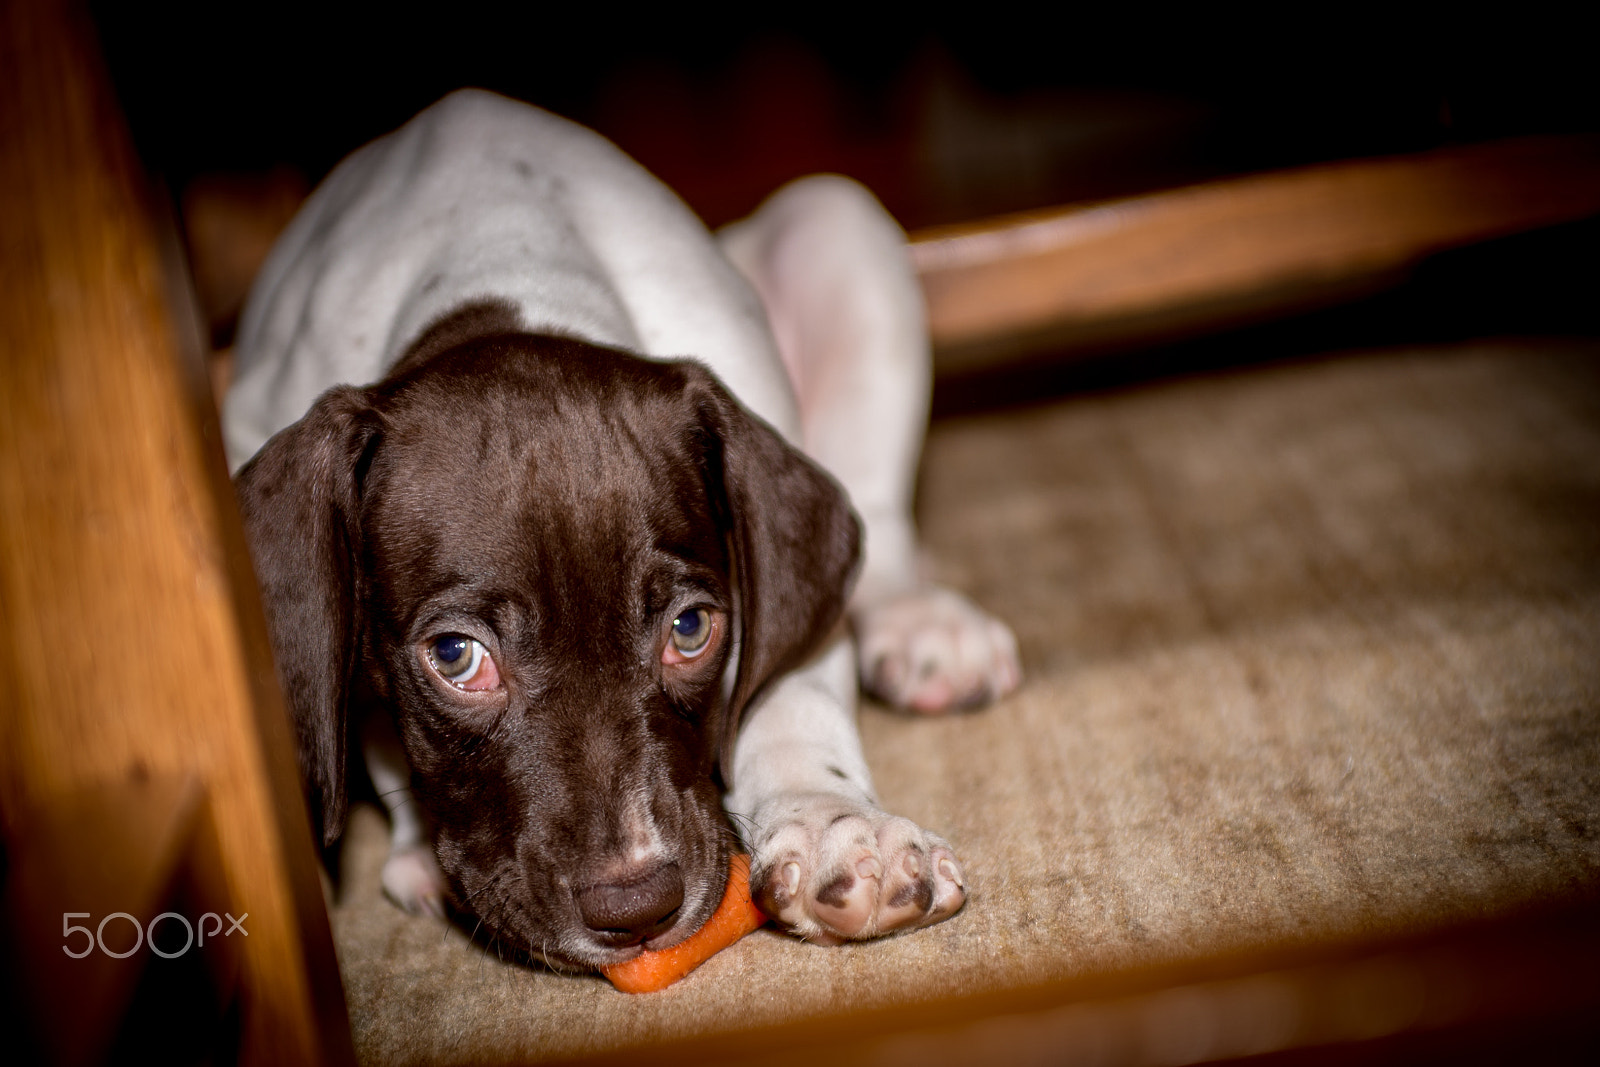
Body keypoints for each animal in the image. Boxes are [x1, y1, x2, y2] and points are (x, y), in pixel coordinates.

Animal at [227, 91, 1017, 972]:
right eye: (455, 656)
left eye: (691, 628)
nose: (637, 905)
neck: (503, 266)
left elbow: (790, 691)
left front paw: (831, 822)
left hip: (838, 226)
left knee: (879, 518)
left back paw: (921, 623)